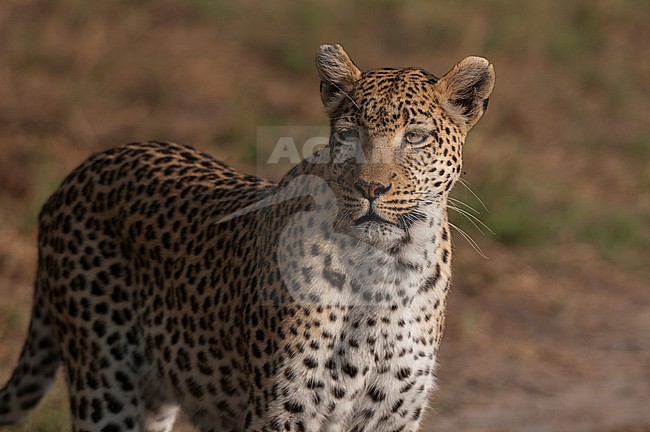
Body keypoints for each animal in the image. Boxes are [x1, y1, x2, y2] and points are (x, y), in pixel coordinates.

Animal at [0, 44, 494, 431]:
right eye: (349, 134)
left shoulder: (392, 415)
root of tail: (78, 172)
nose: (369, 188)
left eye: (416, 137)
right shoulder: (283, 411)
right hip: (104, 383)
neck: (384, 268)